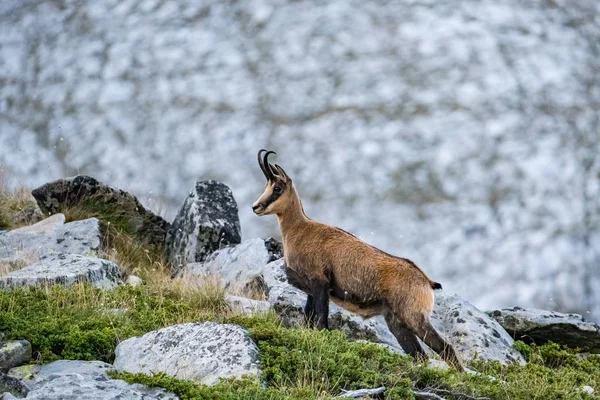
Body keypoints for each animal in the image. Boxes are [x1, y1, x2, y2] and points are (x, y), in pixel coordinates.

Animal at [252, 150, 464, 372]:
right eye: (266, 186)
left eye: (277, 188)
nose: (255, 207)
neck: (299, 230)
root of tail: (426, 281)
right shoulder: (311, 289)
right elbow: (310, 320)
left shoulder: (320, 283)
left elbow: (321, 322)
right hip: (397, 322)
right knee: (419, 355)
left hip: (413, 316)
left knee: (444, 347)